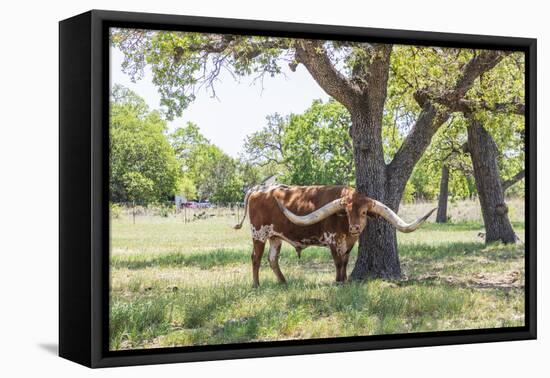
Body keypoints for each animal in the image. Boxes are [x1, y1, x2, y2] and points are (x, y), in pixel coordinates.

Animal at [235, 185, 438, 288]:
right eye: (346, 212)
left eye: (364, 212)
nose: (355, 227)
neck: (346, 230)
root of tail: (257, 190)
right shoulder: (333, 240)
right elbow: (338, 262)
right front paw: (338, 281)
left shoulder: (349, 243)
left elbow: (346, 261)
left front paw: (345, 280)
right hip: (259, 234)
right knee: (256, 258)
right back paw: (256, 285)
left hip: (275, 236)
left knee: (272, 259)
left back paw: (283, 282)